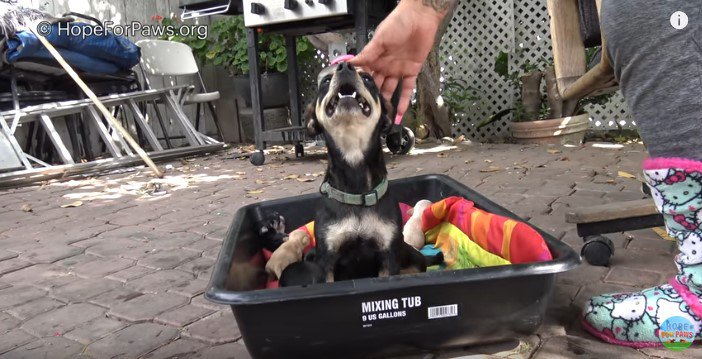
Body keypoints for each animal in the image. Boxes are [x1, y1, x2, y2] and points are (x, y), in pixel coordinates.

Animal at [304, 62, 428, 284]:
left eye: (368, 79)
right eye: (325, 81)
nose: (345, 66)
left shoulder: (388, 256)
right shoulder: (326, 261)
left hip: (413, 258)